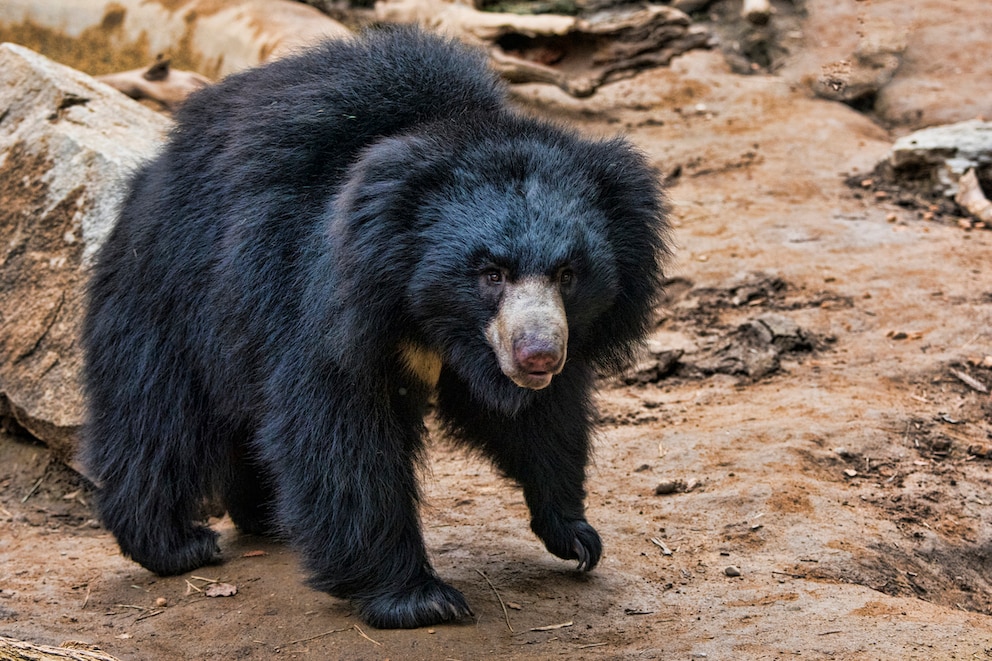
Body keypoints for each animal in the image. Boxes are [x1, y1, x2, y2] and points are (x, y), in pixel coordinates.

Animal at [81, 27, 672, 628]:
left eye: (568, 274)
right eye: (491, 273)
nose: (538, 356)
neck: (425, 311)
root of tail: (150, 177)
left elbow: (541, 420)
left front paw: (574, 535)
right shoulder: (320, 297)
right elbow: (339, 430)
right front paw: (421, 599)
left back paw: (266, 518)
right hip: (170, 290)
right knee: (158, 414)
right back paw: (176, 544)